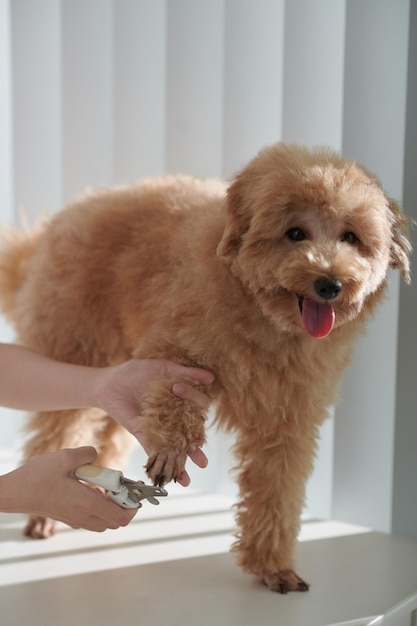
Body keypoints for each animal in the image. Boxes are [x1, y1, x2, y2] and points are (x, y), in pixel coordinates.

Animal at [0, 143, 410, 588]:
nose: (330, 283)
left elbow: (277, 492)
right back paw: (42, 515)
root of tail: (66, 217)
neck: (265, 317)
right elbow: (173, 403)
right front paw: (171, 452)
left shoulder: (287, 422)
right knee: (58, 427)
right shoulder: (177, 354)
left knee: (106, 431)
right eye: (295, 233)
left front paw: (272, 566)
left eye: (350, 237)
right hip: (76, 343)